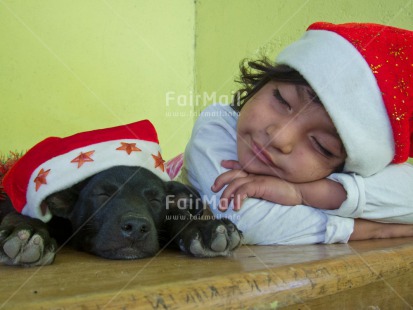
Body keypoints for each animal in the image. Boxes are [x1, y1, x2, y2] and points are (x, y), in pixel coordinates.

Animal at [0, 165, 241, 266]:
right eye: (103, 194)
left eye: (155, 200)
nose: (135, 227)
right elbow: (26, 213)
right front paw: (26, 231)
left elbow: (178, 214)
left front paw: (204, 228)